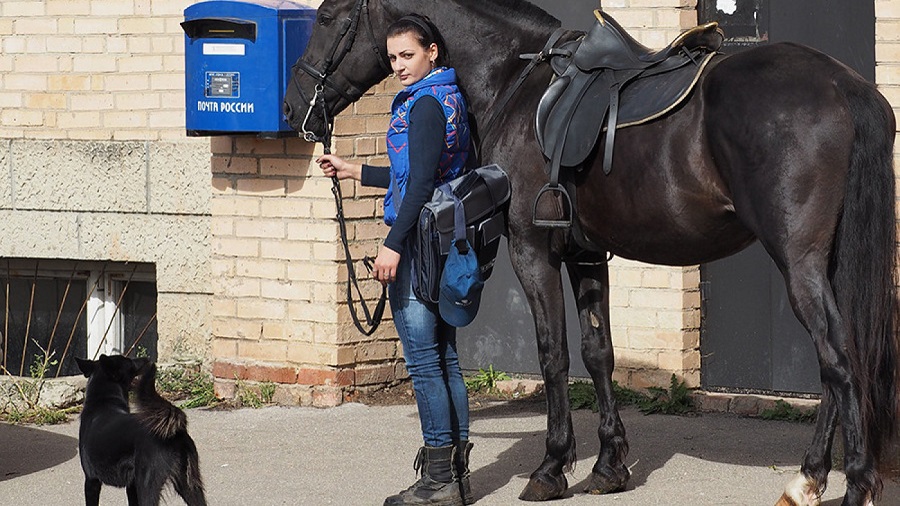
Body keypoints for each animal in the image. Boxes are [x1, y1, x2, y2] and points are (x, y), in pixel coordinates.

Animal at [77, 356, 207, 506]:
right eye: (129, 361)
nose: (146, 358)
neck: (104, 403)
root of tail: (175, 432)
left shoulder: (91, 481)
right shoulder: (131, 486)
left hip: (147, 487)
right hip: (189, 486)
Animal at [284, 1, 900, 504]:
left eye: (326, 17)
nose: (294, 109)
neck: (514, 79)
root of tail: (844, 86)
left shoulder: (533, 250)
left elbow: (553, 352)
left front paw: (551, 468)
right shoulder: (586, 254)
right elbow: (598, 351)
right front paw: (608, 466)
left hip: (798, 261)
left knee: (839, 359)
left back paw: (854, 484)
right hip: (826, 262)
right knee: (837, 360)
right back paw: (807, 479)